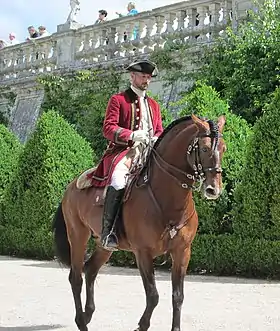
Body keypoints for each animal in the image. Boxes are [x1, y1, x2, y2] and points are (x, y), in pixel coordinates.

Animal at [52, 113, 226, 331]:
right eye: (203, 148)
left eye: (223, 148)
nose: (213, 189)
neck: (169, 200)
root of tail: (72, 185)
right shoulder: (143, 253)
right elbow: (153, 296)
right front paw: (141, 325)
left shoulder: (182, 252)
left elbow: (178, 296)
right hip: (78, 237)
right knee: (76, 278)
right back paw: (81, 322)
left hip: (104, 244)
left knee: (90, 270)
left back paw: (88, 313)